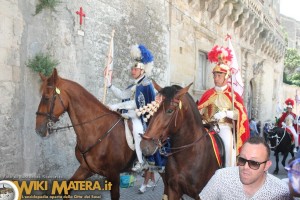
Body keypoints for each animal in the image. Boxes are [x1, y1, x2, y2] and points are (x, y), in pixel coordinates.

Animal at [34, 68, 137, 198]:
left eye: (46, 97)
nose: (38, 129)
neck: (97, 131)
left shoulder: (113, 174)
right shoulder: (86, 169)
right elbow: (67, 188)